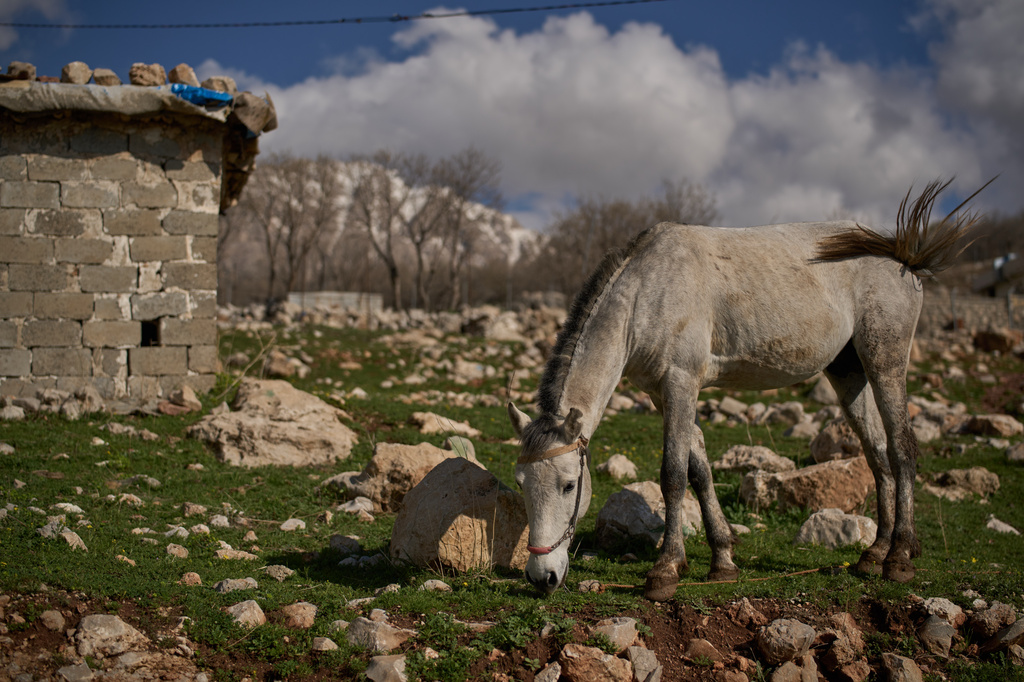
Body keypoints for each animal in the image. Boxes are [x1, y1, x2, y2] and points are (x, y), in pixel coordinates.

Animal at [509, 179, 988, 601]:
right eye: (521, 483)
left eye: (569, 485)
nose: (541, 576)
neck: (647, 293)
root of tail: (900, 254)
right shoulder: (664, 393)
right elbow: (699, 470)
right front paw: (721, 561)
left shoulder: (680, 382)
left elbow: (673, 475)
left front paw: (665, 571)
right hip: (849, 373)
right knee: (878, 456)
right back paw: (875, 553)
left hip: (885, 361)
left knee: (903, 448)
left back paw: (900, 557)